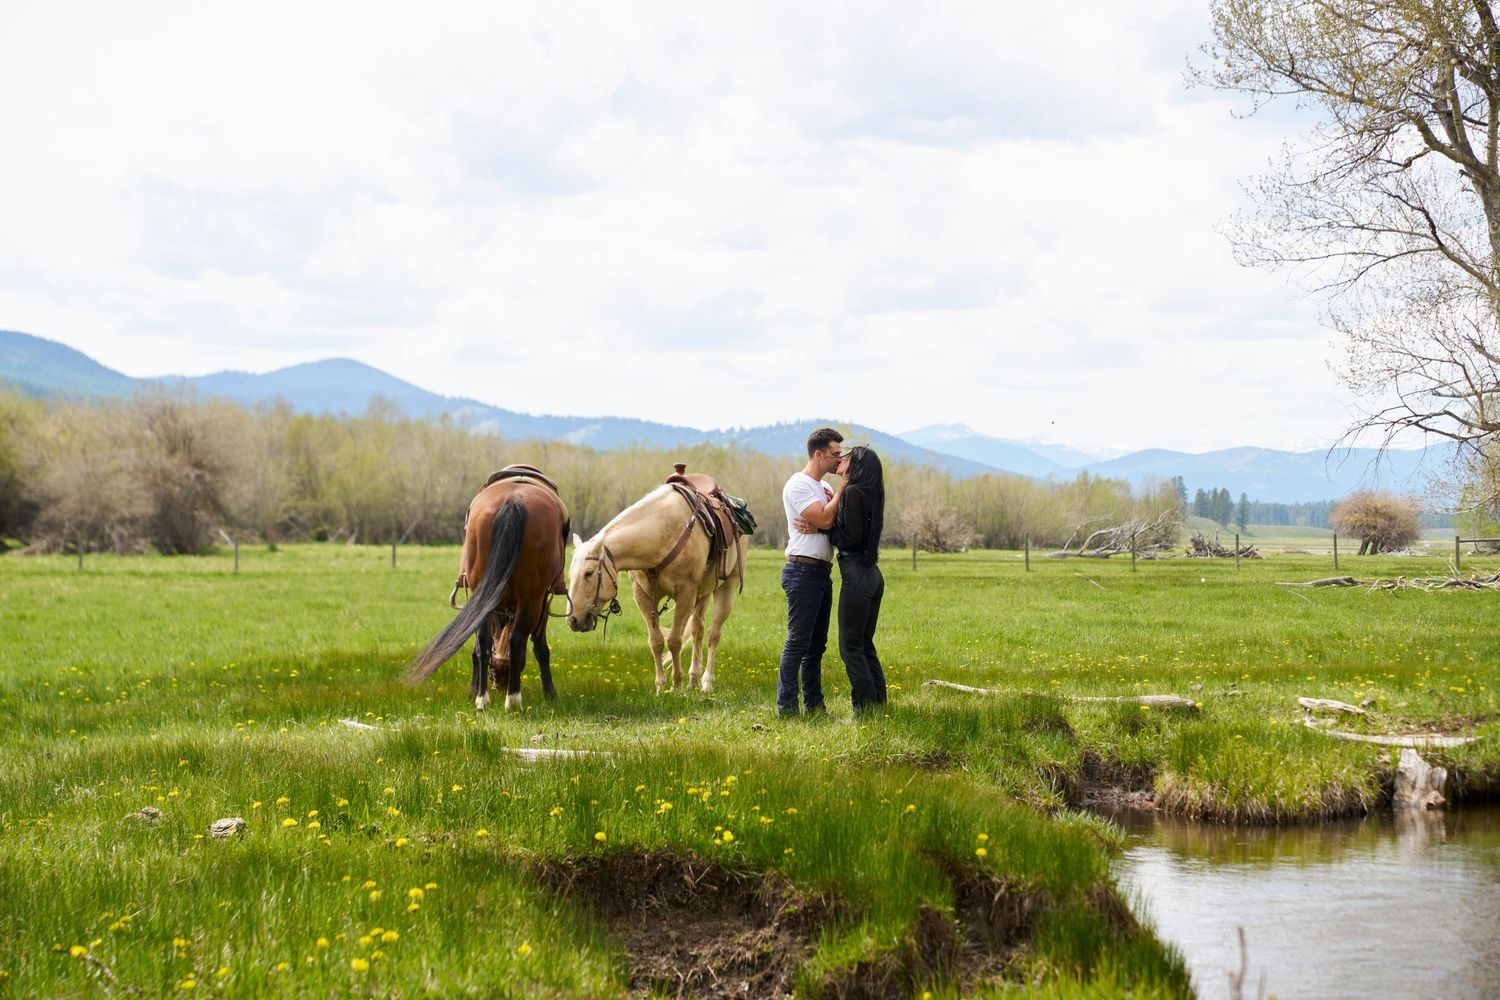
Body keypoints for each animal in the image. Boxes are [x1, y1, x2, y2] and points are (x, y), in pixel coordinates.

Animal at [407, 466, 569, 711]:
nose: (498, 682)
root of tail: (514, 500)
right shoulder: (542, 602)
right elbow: (540, 647)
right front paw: (550, 692)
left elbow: (479, 646)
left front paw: (474, 689)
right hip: (531, 599)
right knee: (516, 641)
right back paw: (513, 700)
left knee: (483, 642)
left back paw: (482, 698)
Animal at [566, 476, 747, 693]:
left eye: (589, 573)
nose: (573, 619)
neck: (662, 534)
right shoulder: (643, 595)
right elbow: (656, 642)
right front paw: (661, 686)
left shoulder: (686, 593)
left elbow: (675, 641)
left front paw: (676, 685)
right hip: (703, 593)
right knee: (698, 630)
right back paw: (693, 679)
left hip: (727, 586)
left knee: (714, 634)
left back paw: (706, 681)